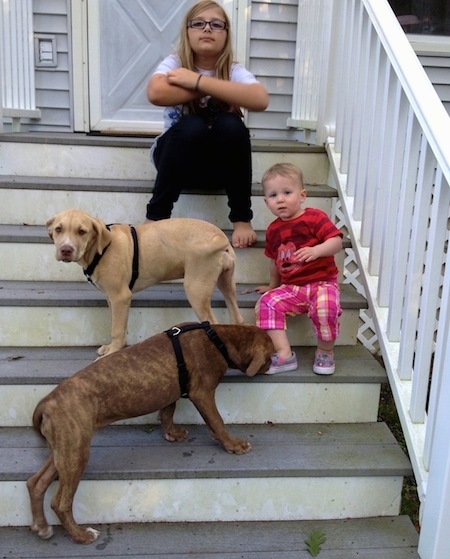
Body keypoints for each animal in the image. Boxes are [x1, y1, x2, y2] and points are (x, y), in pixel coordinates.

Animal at [28, 324, 274, 548]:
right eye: (271, 355)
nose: (273, 363)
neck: (220, 338)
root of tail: (47, 402)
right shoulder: (202, 393)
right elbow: (217, 420)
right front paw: (232, 444)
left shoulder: (171, 390)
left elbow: (167, 411)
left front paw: (172, 433)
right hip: (76, 452)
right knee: (60, 503)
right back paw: (80, 535)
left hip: (65, 448)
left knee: (35, 483)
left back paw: (41, 526)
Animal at [45, 210, 243, 358]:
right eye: (58, 229)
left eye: (82, 231)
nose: (65, 250)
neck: (101, 248)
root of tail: (219, 235)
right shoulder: (112, 299)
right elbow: (118, 324)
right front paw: (114, 347)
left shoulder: (120, 297)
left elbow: (117, 329)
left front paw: (113, 352)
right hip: (227, 284)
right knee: (237, 317)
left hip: (196, 289)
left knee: (213, 323)